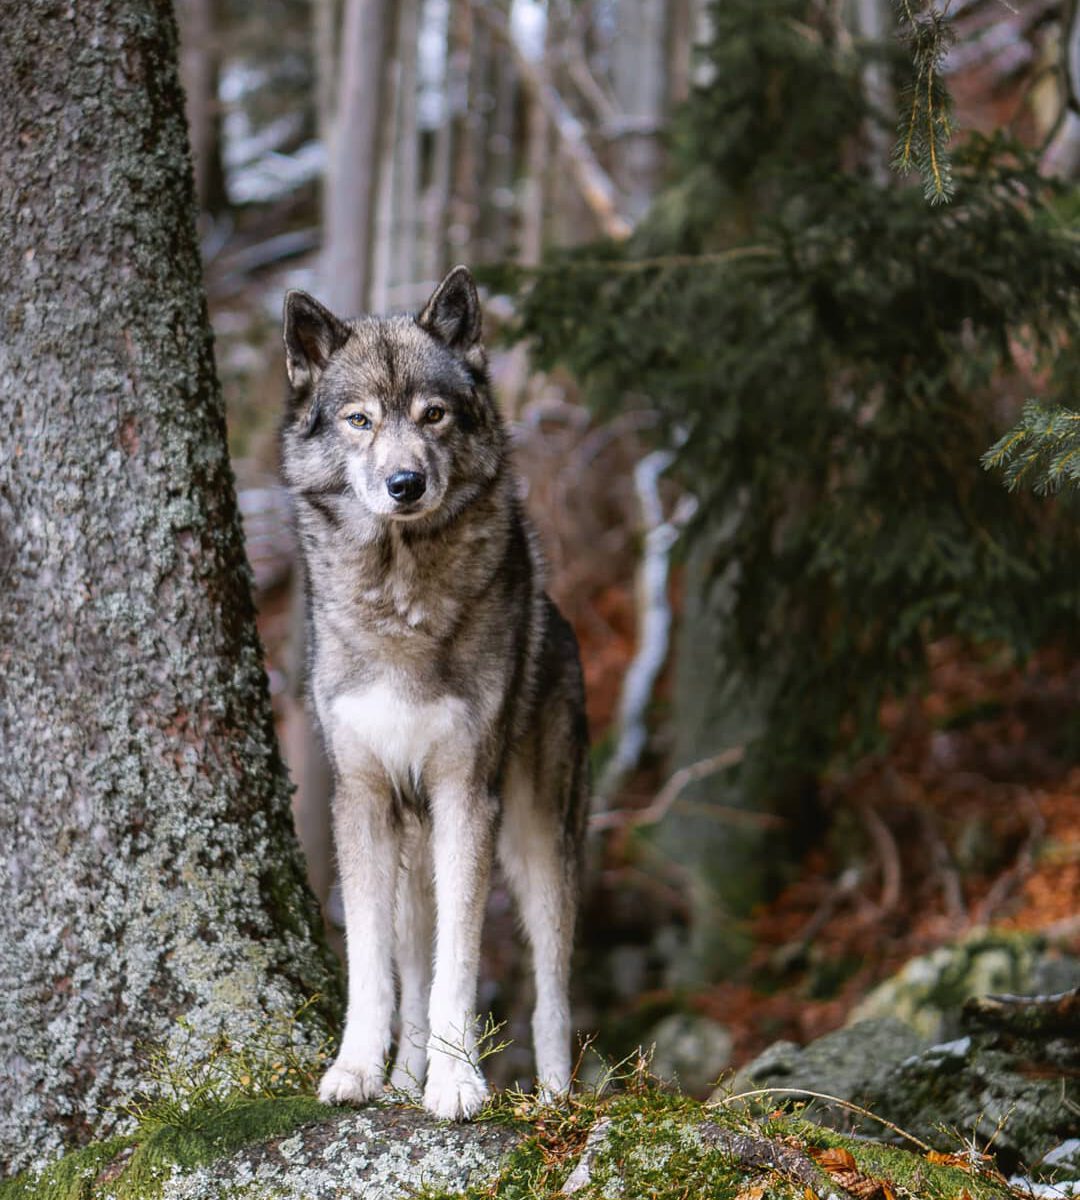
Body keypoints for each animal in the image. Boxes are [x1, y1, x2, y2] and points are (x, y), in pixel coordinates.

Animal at [278, 267, 590, 1118]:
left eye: (433, 415)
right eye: (359, 420)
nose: (405, 483)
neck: (399, 599)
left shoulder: (466, 797)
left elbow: (460, 965)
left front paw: (456, 1083)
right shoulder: (360, 798)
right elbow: (372, 968)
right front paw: (357, 1070)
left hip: (538, 840)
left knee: (553, 991)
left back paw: (556, 1100)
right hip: (410, 847)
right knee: (410, 969)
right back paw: (401, 1077)